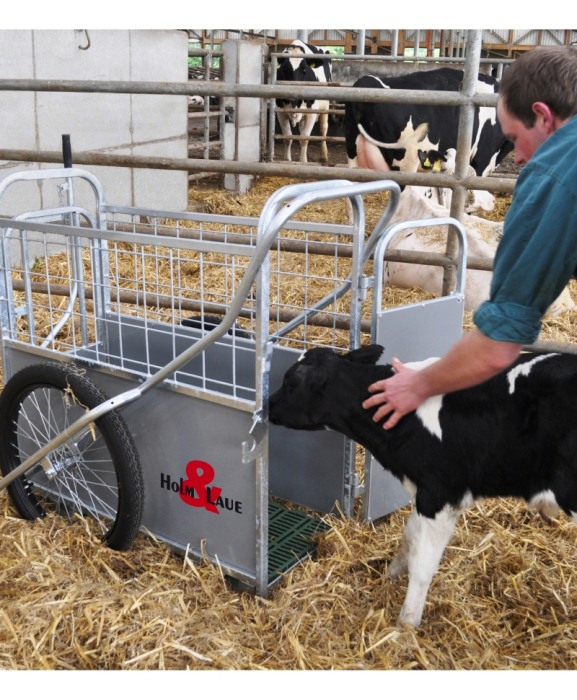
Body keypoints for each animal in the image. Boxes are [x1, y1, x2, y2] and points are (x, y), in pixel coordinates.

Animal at [269, 343, 577, 626]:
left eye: (290, 382)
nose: (267, 404)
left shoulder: (440, 495)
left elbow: (423, 564)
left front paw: (407, 623)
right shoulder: (423, 492)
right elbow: (409, 536)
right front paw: (393, 572)